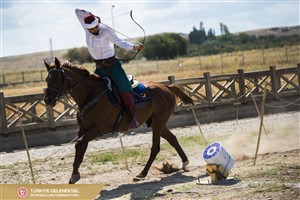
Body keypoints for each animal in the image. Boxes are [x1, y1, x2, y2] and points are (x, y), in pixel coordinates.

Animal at [44, 57, 195, 184]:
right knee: (172, 139)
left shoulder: (98, 129)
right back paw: (184, 162)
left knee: (155, 147)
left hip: (158, 122)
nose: (48, 99)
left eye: (57, 78)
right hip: (156, 123)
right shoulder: (83, 129)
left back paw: (142, 173)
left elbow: (80, 143)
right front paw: (75, 174)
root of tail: (167, 87)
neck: (91, 94)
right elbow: (80, 147)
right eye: (47, 79)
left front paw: (75, 174)